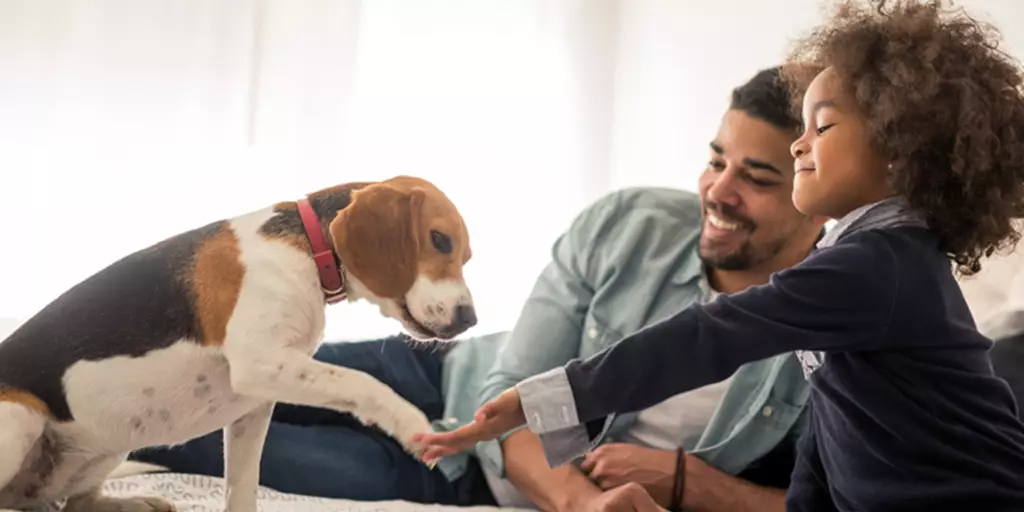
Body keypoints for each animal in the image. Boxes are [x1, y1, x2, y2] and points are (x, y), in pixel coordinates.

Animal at [0, 176, 475, 512]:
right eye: (439, 240)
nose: (470, 319)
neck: (310, 250)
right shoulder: (260, 364)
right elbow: (363, 382)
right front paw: (412, 426)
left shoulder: (255, 404)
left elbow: (243, 486)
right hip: (20, 417)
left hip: (110, 444)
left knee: (75, 504)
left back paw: (135, 503)